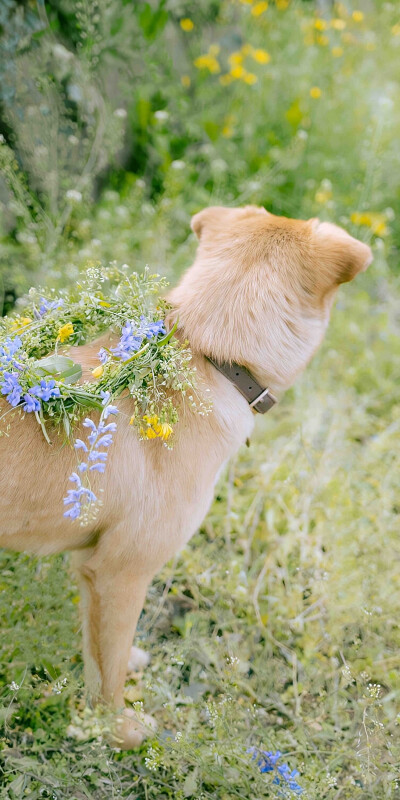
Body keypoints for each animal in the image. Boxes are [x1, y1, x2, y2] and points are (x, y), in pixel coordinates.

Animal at [0, 205, 372, 744]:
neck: (210, 356)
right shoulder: (120, 572)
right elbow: (107, 676)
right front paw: (117, 731)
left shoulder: (92, 569)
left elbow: (102, 651)